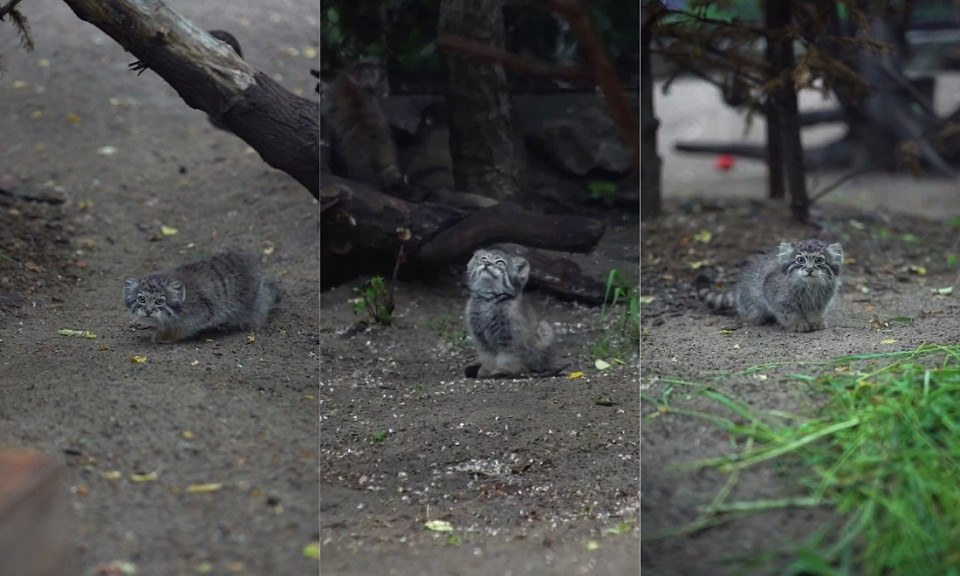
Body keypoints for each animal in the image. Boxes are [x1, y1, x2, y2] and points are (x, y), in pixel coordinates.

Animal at [125, 249, 280, 342]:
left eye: (159, 301)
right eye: (141, 299)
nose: (148, 311)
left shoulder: (200, 313)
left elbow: (181, 328)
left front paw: (164, 335)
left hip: (252, 302)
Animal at [696, 237, 840, 332]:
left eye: (819, 260)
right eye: (800, 260)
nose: (809, 269)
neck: (809, 286)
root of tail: (738, 287)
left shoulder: (821, 301)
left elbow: (816, 312)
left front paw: (816, 321)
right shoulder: (776, 297)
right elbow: (789, 312)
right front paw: (797, 323)